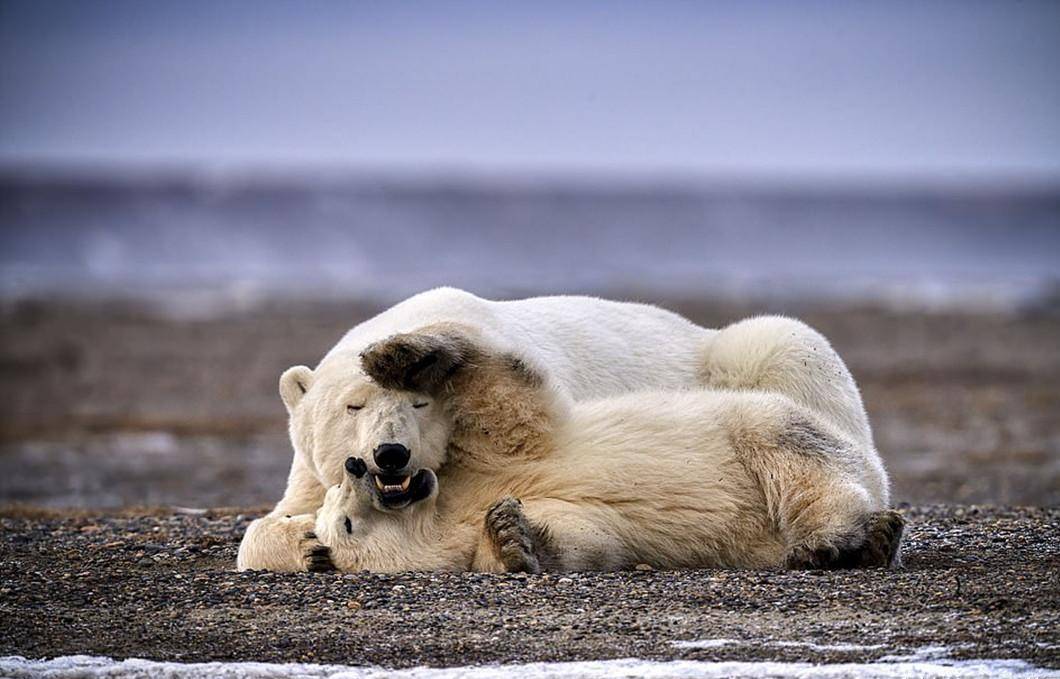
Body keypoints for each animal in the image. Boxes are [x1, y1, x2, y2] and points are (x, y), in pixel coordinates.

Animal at [236, 286, 873, 572]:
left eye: (420, 405)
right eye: (353, 407)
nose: (389, 455)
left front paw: (408, 354)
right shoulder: (314, 467)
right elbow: (283, 512)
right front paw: (303, 544)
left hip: (742, 357)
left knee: (784, 346)